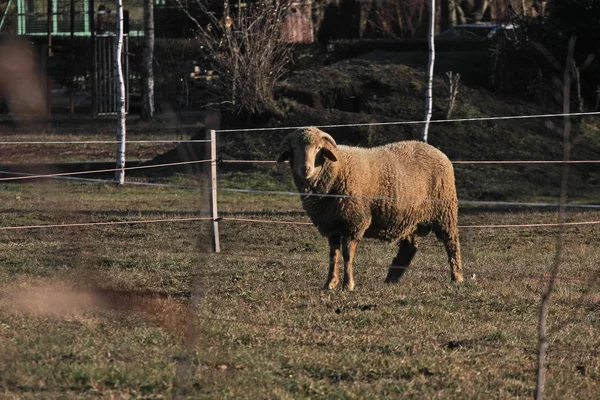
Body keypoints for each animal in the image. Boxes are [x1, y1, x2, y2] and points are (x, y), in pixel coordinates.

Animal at [276, 126, 464, 290]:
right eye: (294, 148)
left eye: (319, 148)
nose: (305, 169)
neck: (336, 170)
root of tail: (438, 151)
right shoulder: (332, 225)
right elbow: (333, 255)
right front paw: (330, 283)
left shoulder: (354, 222)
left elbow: (347, 254)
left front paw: (348, 285)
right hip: (409, 217)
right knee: (409, 247)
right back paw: (391, 278)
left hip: (444, 210)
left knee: (451, 242)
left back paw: (457, 277)